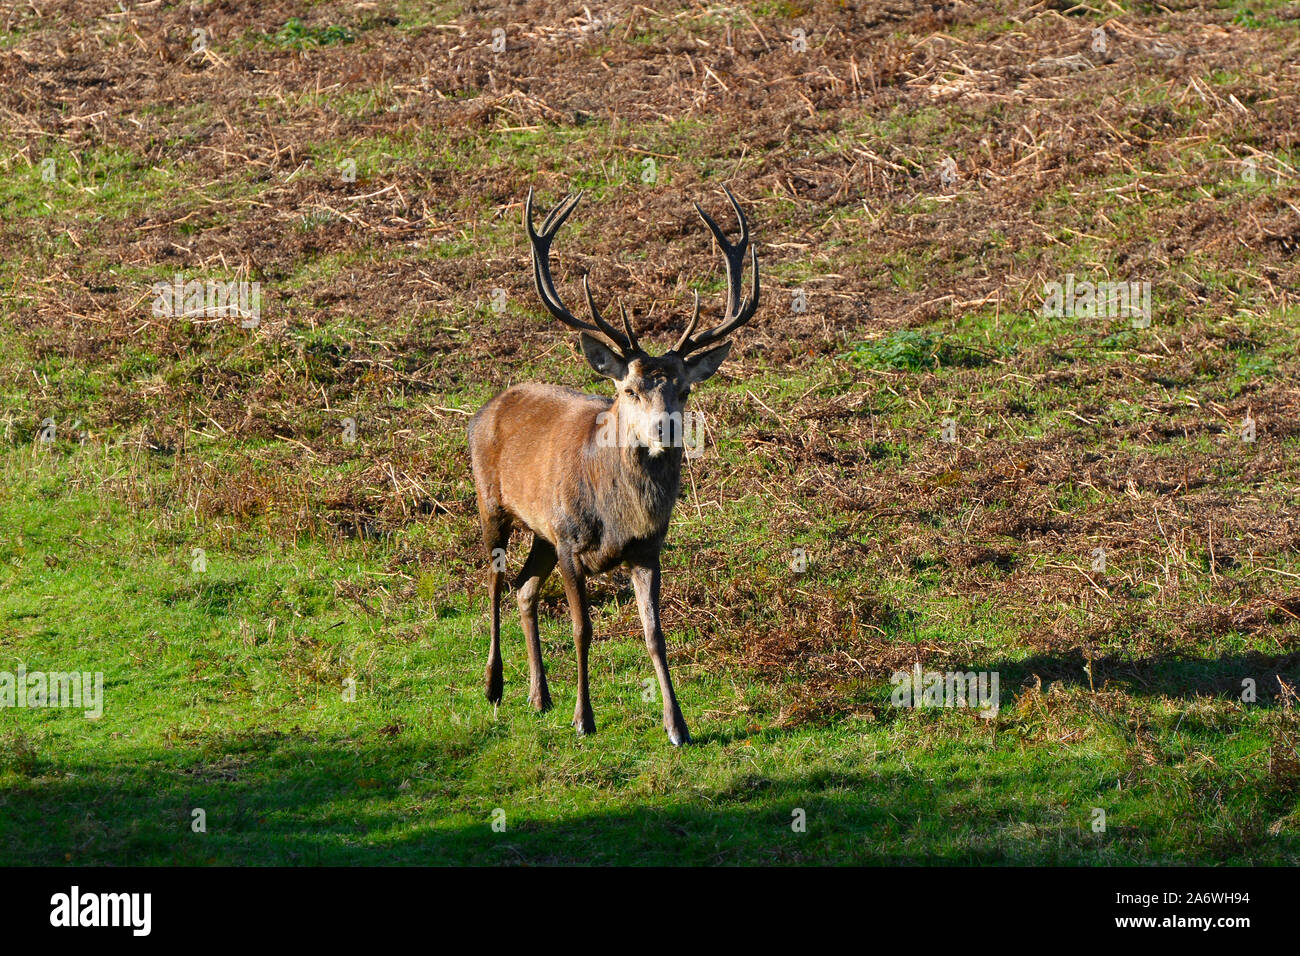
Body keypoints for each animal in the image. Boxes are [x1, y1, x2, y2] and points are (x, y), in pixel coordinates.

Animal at [466, 186, 759, 746]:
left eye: (685, 389)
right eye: (630, 389)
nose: (666, 430)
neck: (618, 516)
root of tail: (486, 408)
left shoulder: (647, 549)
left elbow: (654, 633)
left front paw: (678, 726)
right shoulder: (570, 540)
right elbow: (583, 628)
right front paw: (585, 718)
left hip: (541, 531)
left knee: (524, 588)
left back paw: (539, 695)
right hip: (492, 500)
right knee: (493, 580)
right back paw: (494, 686)